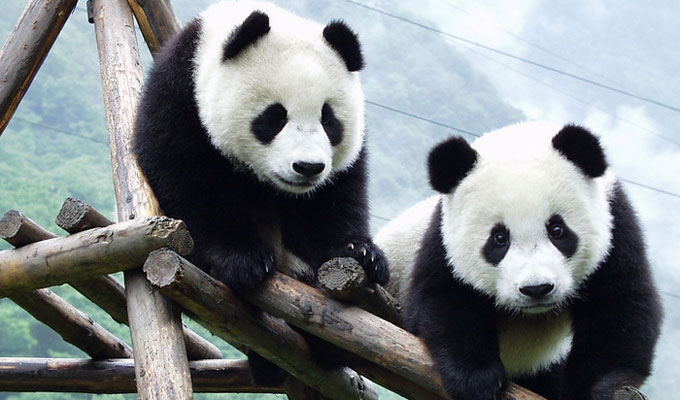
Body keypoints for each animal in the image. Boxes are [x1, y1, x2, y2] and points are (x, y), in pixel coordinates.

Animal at [374, 122, 660, 400]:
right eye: (499, 238)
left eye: (557, 230)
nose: (537, 289)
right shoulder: (443, 239)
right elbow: (442, 299)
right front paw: (477, 380)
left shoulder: (617, 225)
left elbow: (620, 308)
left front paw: (595, 388)